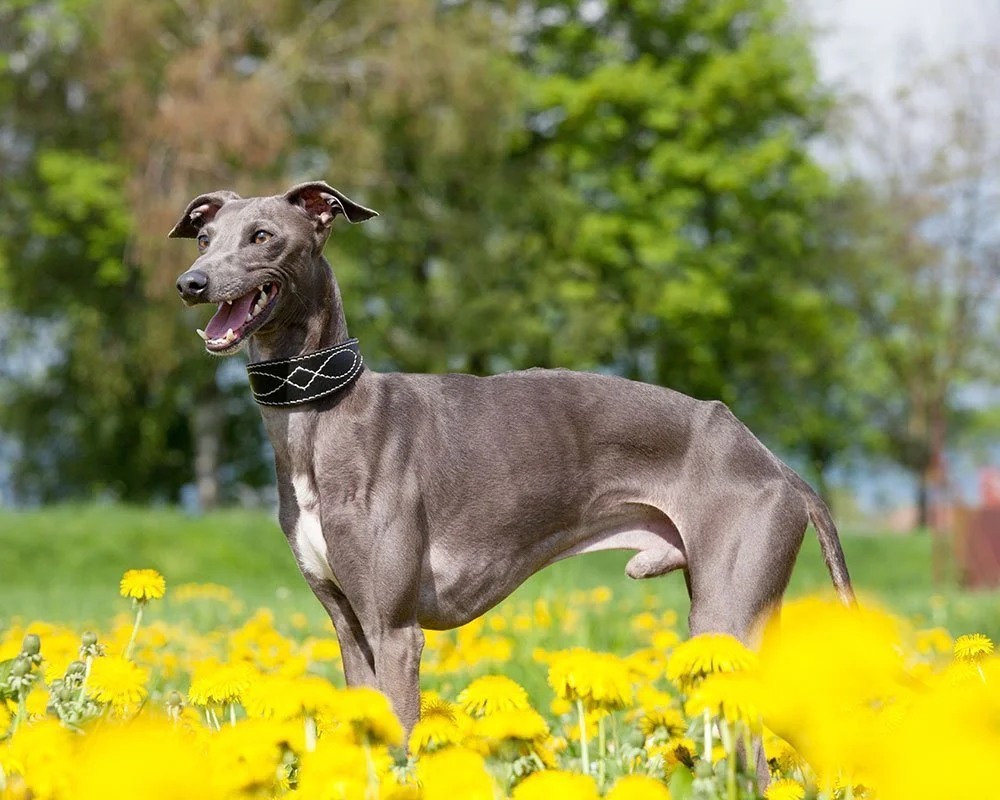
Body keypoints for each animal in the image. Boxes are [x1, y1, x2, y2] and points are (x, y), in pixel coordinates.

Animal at [170, 181, 852, 736]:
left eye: (262, 236)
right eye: (203, 237)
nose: (190, 284)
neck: (322, 415)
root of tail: (776, 464)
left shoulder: (395, 631)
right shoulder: (350, 627)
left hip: (726, 618)